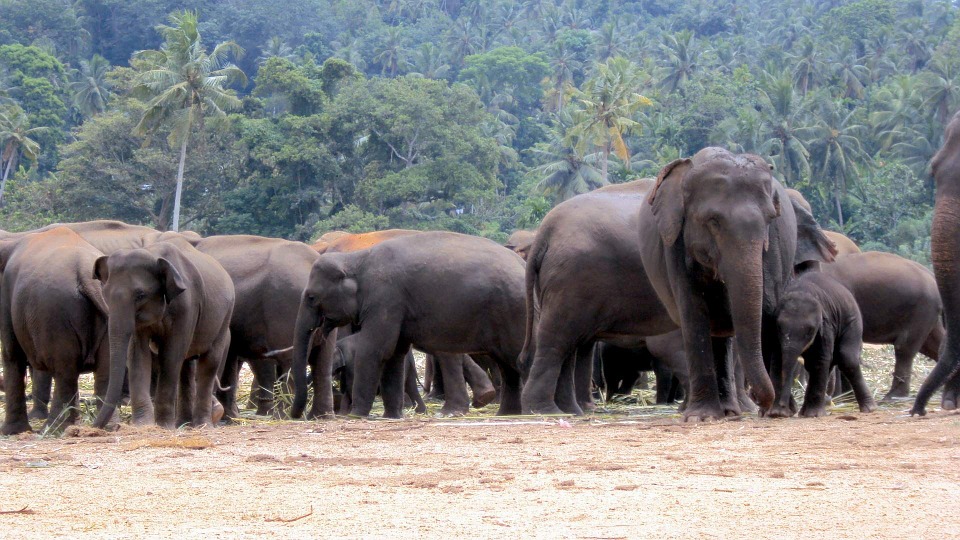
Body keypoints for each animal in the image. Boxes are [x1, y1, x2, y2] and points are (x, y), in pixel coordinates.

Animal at [0, 228, 110, 435]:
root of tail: (86, 275)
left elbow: (11, 354)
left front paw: (12, 432)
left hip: (54, 314)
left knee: (63, 369)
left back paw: (53, 429)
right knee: (104, 369)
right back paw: (106, 427)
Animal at [92, 236, 235, 429]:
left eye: (140, 295)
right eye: (105, 294)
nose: (92, 426)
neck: (153, 254)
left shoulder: (187, 305)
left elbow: (171, 354)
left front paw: (164, 426)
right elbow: (137, 354)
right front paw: (143, 425)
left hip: (224, 318)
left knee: (209, 362)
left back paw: (203, 425)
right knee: (187, 367)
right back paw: (184, 424)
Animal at [290, 231, 527, 419]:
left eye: (311, 297)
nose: (296, 416)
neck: (358, 258)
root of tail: (522, 264)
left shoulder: (385, 299)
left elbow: (375, 349)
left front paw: (356, 416)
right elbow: (394, 354)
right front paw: (391, 416)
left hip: (512, 311)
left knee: (518, 357)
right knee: (506, 364)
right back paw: (506, 413)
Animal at [769, 271, 876, 418]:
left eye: (810, 331)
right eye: (779, 327)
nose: (783, 407)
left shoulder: (826, 327)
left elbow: (820, 359)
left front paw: (814, 415)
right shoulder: (774, 331)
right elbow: (777, 359)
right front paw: (776, 413)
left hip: (853, 321)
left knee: (846, 358)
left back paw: (869, 408)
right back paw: (805, 411)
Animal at [820, 251, 949, 403]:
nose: (828, 397)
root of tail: (931, 275)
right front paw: (845, 399)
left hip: (922, 309)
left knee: (904, 348)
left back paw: (892, 398)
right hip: (927, 312)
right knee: (931, 344)